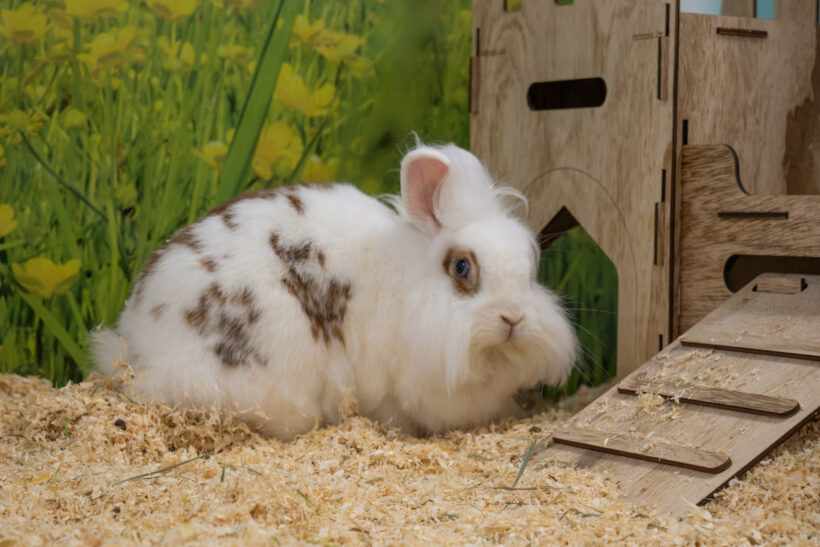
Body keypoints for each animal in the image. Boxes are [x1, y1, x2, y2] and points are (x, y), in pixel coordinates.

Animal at [93, 143, 577, 440]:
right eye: (462, 267)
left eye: (531, 268)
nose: (513, 318)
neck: (411, 287)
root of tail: (139, 347)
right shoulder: (392, 392)